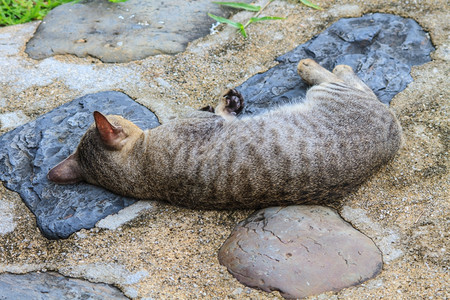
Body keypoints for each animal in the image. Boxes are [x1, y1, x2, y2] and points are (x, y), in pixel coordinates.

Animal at [47, 58, 402, 209]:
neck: (141, 171)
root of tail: (393, 139)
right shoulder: (210, 125)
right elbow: (219, 114)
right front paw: (225, 103)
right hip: (335, 94)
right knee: (350, 82)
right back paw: (315, 65)